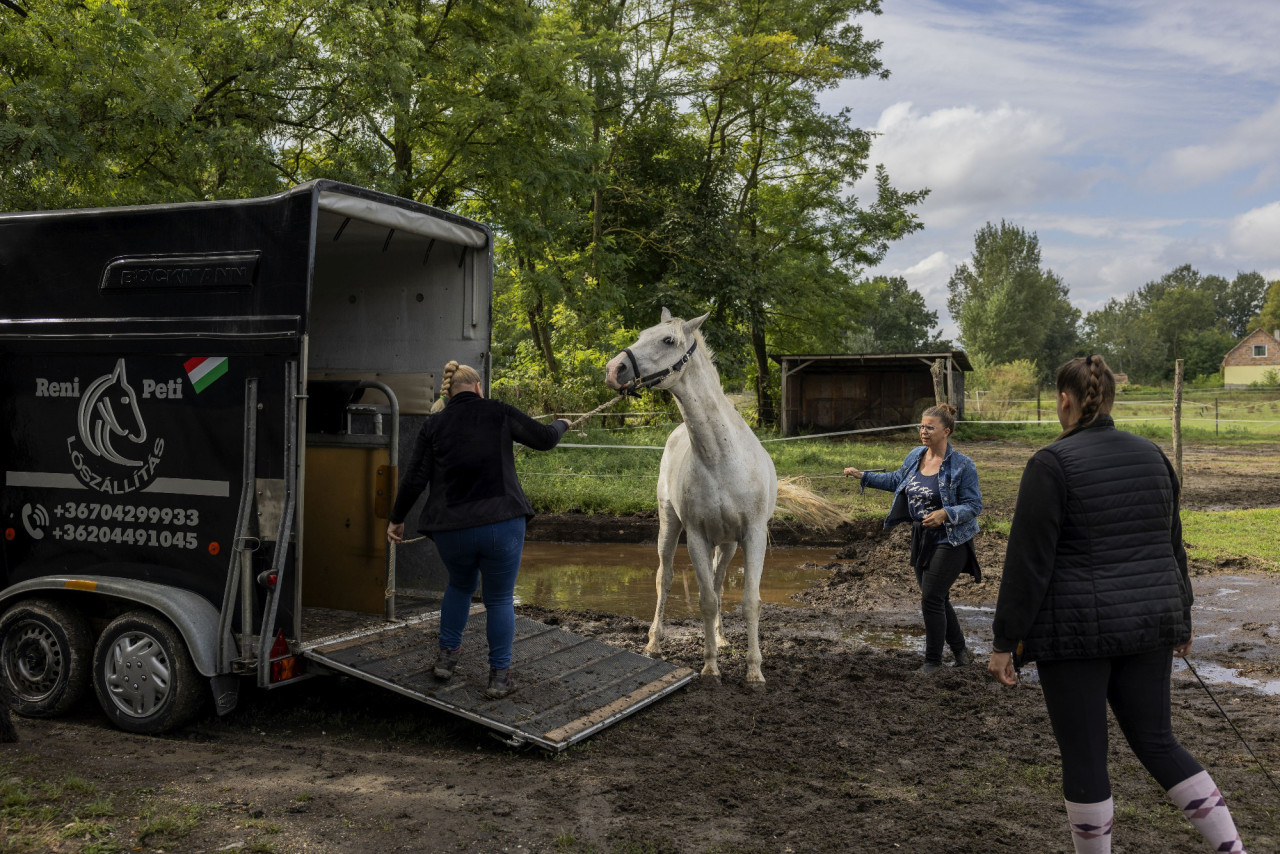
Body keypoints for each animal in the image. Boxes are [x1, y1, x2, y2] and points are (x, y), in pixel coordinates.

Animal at [604, 311, 824, 686]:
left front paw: (754, 671)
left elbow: (749, 602)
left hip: (728, 544)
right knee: (665, 578)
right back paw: (654, 643)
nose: (614, 369)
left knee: (720, 584)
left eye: (667, 340)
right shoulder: (696, 537)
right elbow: (706, 600)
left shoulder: (752, 536)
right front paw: (710, 667)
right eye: (641, 334)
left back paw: (721, 639)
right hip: (670, 525)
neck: (721, 457)